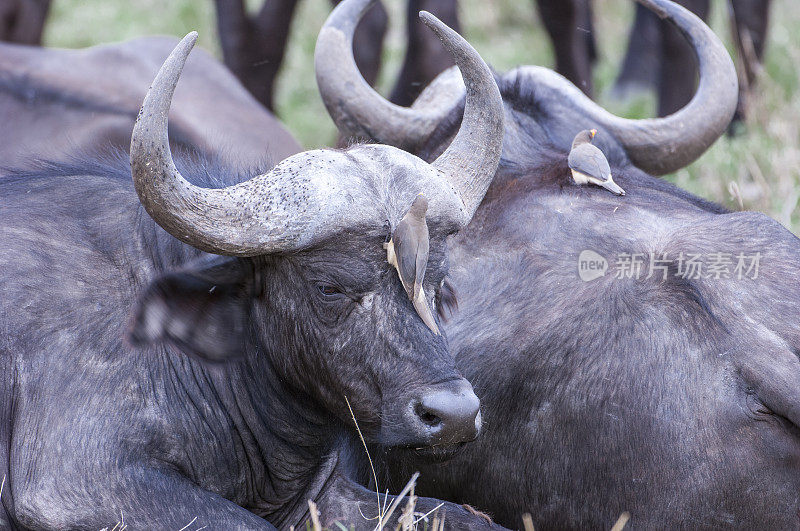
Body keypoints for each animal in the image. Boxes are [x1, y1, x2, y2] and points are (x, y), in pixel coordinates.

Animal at [0, 13, 506, 531]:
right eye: (329, 288)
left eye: (437, 282)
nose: (454, 415)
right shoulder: (83, 484)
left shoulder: (324, 493)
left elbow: (468, 517)